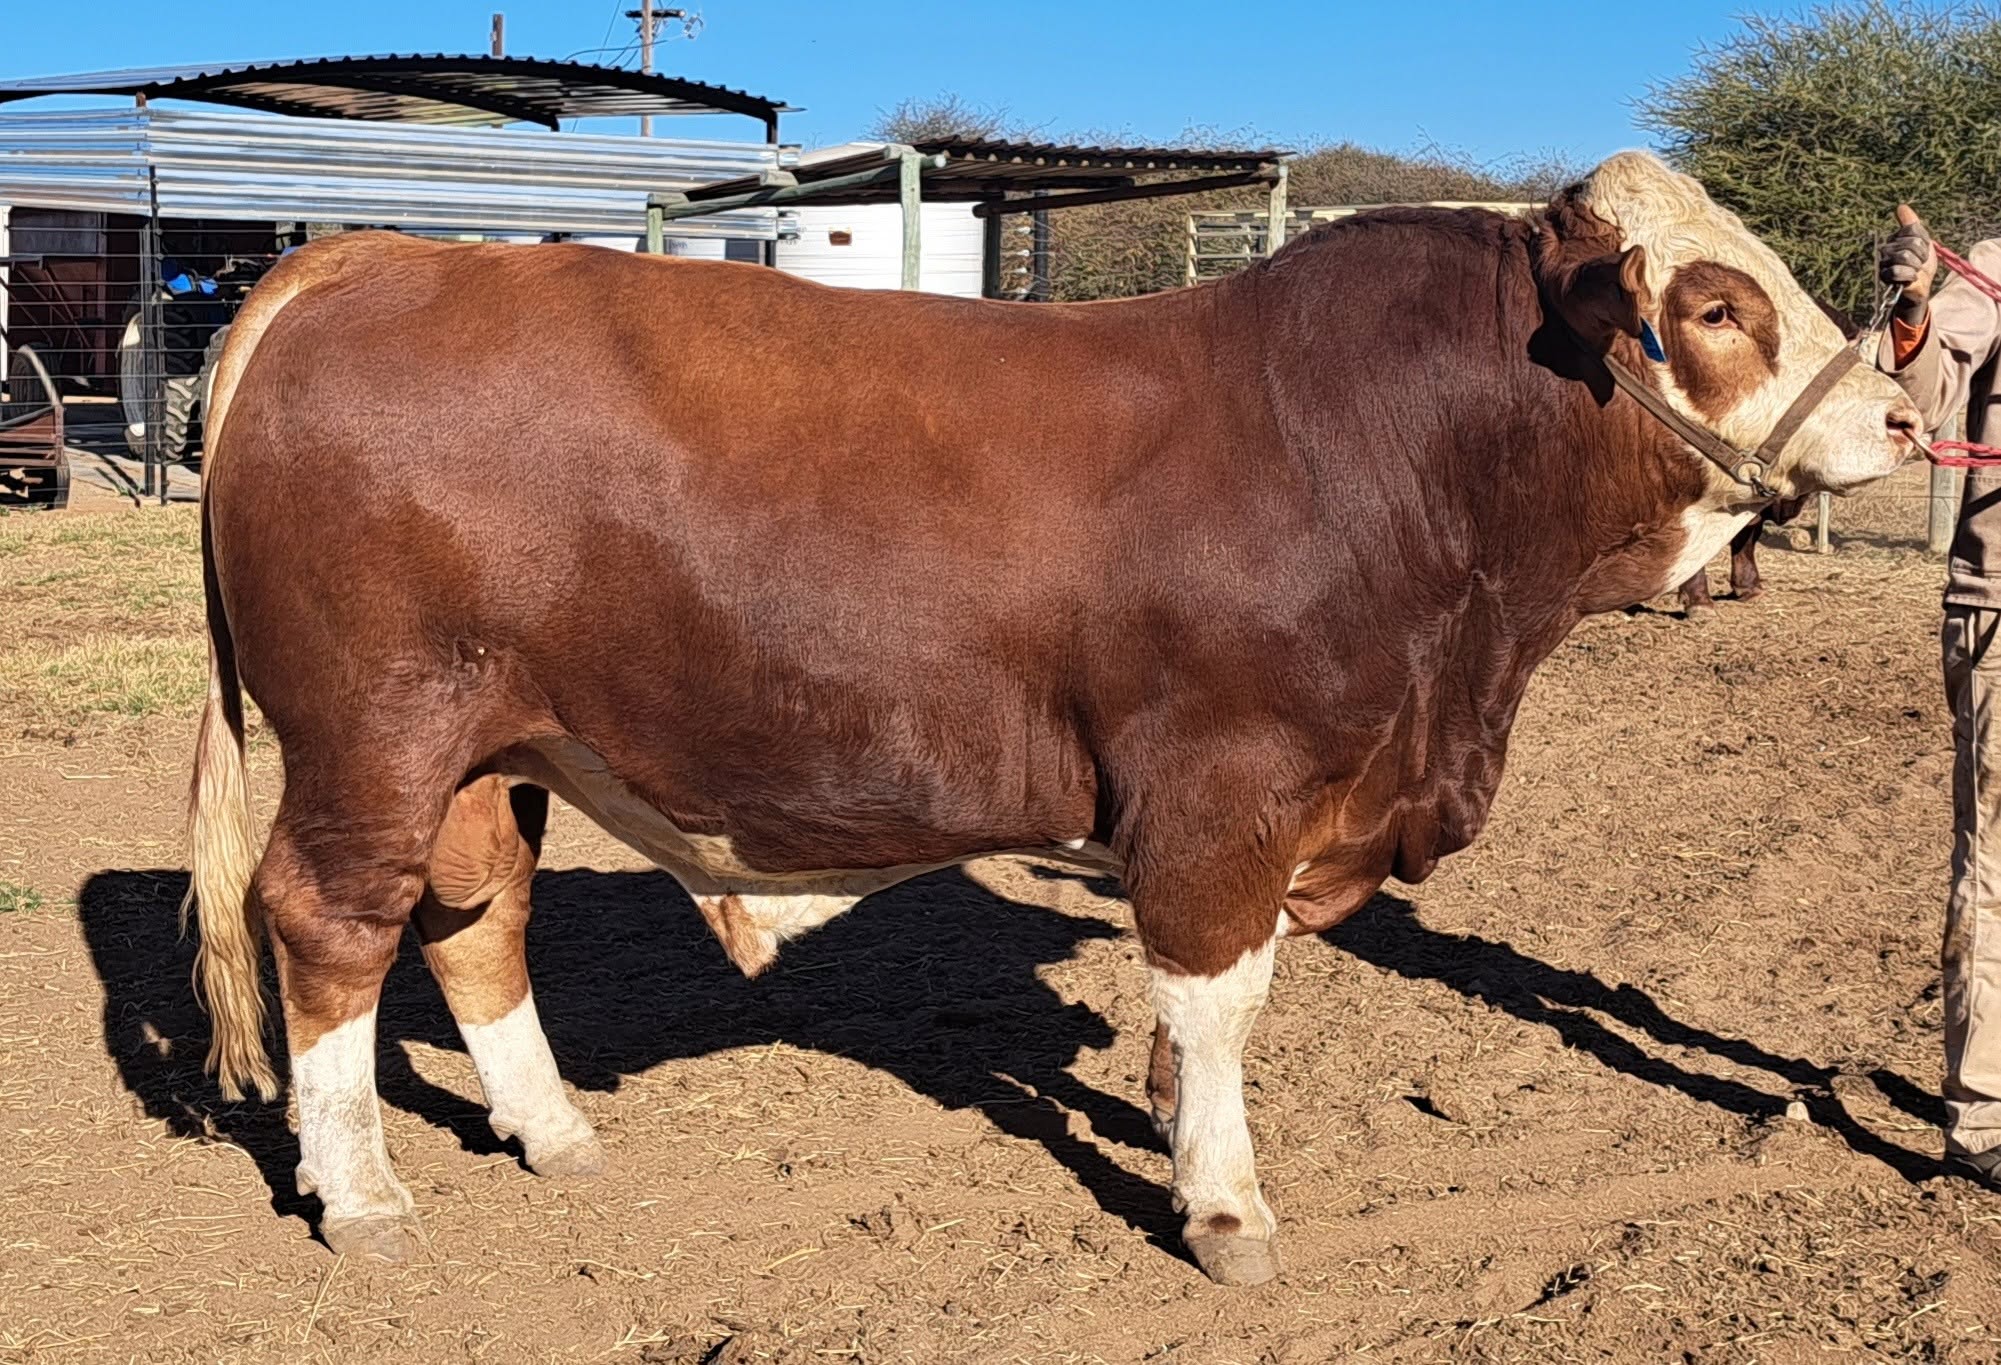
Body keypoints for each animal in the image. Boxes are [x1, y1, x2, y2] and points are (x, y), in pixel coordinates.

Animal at [181, 150, 1920, 1287]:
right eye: (1715, 304)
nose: (1903, 415)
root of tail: (379, 255)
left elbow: (1207, 1009)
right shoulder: (1224, 789)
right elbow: (1218, 999)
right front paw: (1224, 1206)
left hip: (495, 744)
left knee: (475, 913)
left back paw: (548, 1130)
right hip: (376, 729)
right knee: (330, 920)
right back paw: (359, 1191)